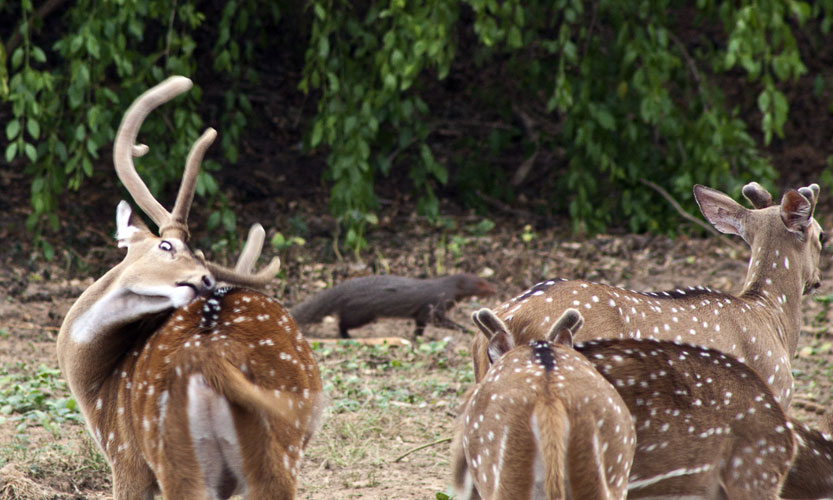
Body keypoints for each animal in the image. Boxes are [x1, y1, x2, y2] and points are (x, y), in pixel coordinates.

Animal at [57, 75, 324, 500]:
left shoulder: (124, 456)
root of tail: (209, 356)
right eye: (166, 246)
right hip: (270, 456)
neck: (96, 388)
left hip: (172, 451)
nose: (206, 280)